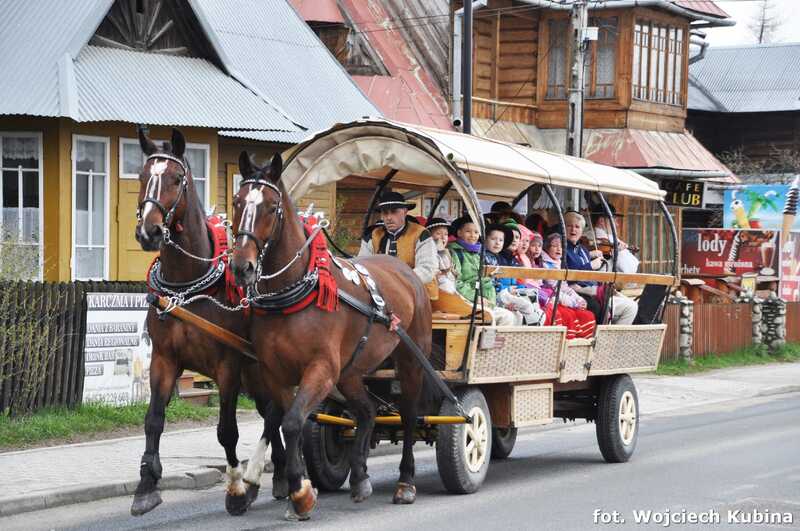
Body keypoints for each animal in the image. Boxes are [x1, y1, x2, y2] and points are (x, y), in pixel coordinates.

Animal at [134, 129, 288, 520]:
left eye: (176, 179)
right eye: (141, 176)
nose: (149, 231)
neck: (188, 286)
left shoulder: (227, 366)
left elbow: (227, 431)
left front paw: (235, 489)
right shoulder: (164, 360)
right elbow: (153, 419)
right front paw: (146, 486)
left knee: (274, 413)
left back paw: (258, 478)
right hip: (258, 373)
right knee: (273, 412)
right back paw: (280, 474)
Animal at [228, 152, 434, 520]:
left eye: (271, 206)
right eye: (238, 201)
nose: (242, 266)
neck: (293, 295)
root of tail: (406, 272)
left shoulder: (321, 369)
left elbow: (292, 423)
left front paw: (299, 494)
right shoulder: (275, 374)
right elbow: (287, 422)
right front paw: (297, 488)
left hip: (410, 361)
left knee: (410, 416)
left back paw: (405, 482)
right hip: (351, 371)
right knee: (366, 411)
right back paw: (360, 476)